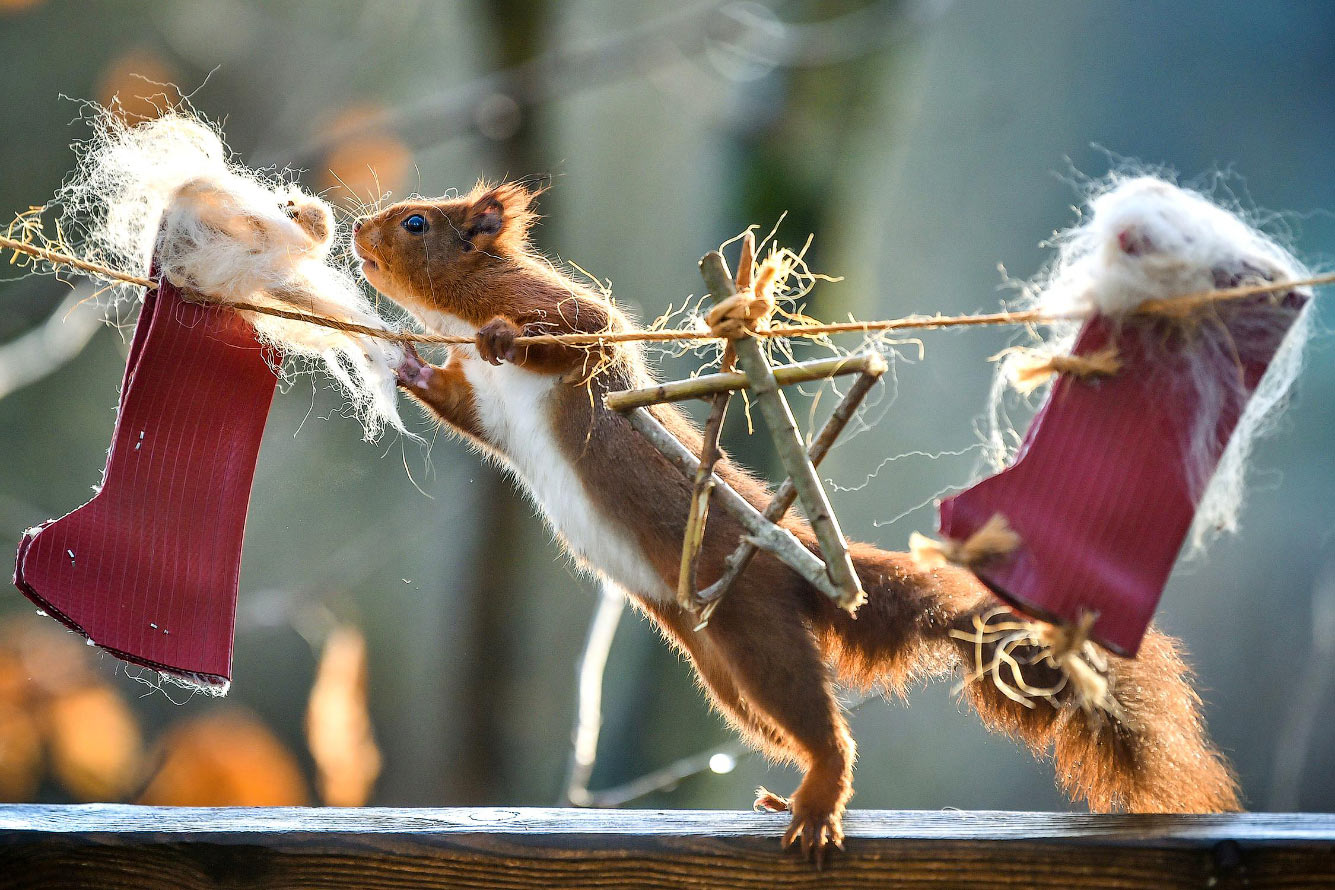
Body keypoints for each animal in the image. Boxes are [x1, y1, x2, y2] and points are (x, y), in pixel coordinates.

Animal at [355, 178, 1238, 864]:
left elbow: (576, 330)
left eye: (416, 223)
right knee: (784, 726)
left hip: (759, 634)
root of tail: (796, 550)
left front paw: (506, 336)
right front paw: (404, 364)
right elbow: (460, 405)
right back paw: (791, 798)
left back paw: (817, 802)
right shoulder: (487, 409)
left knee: (825, 733)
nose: (360, 232)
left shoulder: (566, 318)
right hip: (721, 667)